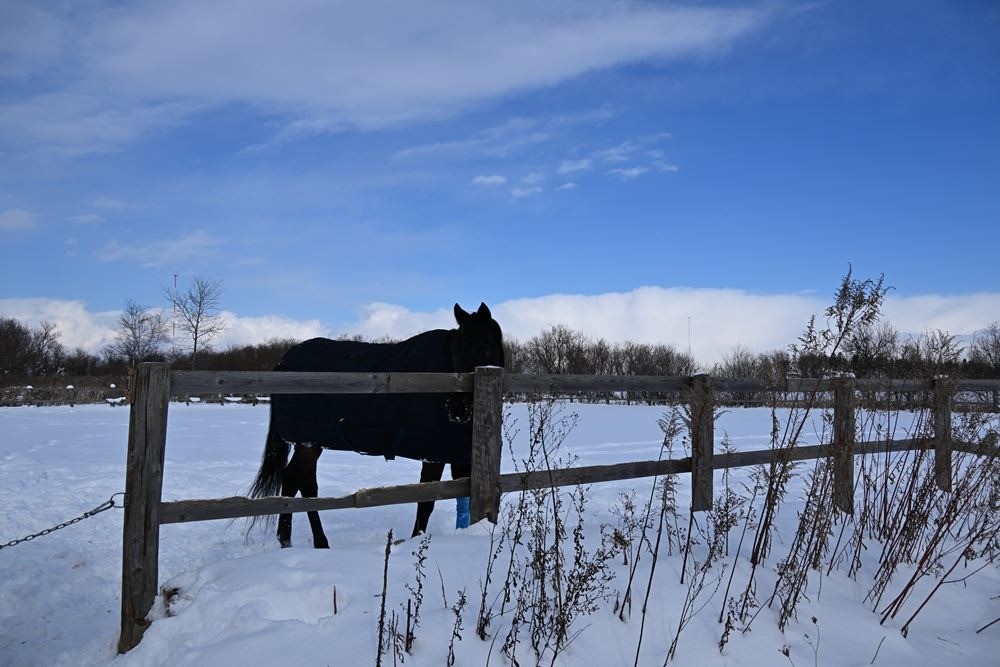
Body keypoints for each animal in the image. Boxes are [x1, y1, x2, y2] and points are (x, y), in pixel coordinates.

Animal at [247, 302, 504, 548]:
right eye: (455, 350)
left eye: (483, 348)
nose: (457, 411)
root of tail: (282, 363)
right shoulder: (434, 454)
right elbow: (426, 500)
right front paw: (417, 539)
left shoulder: (457, 452)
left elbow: (462, 494)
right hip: (309, 441)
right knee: (307, 484)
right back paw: (321, 542)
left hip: (307, 441)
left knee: (290, 478)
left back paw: (285, 540)